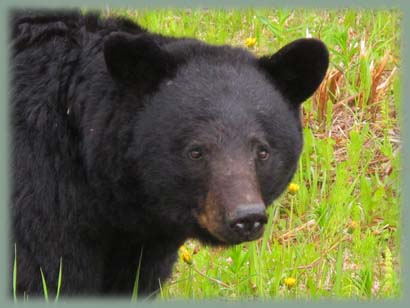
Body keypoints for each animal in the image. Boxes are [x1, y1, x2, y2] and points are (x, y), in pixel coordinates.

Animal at [10, 9, 330, 298]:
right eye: (196, 151)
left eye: (262, 151)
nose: (246, 217)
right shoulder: (41, 201)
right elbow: (45, 275)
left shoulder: (140, 244)